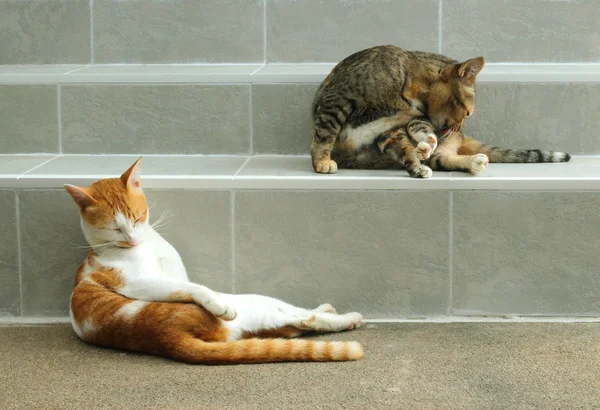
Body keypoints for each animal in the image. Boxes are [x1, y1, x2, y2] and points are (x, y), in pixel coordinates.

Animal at [67, 158, 366, 366]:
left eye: (137, 218)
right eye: (114, 229)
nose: (131, 239)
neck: (146, 245)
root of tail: (168, 339)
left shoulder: (175, 273)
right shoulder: (136, 283)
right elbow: (195, 288)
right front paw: (217, 304)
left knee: (290, 327)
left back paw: (327, 309)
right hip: (253, 303)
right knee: (302, 319)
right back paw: (347, 318)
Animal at [312, 45, 568, 178]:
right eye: (467, 112)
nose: (457, 129)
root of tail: (461, 138)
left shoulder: (390, 131)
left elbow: (407, 147)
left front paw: (418, 160)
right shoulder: (337, 98)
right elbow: (325, 132)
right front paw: (322, 161)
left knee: (444, 157)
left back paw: (470, 160)